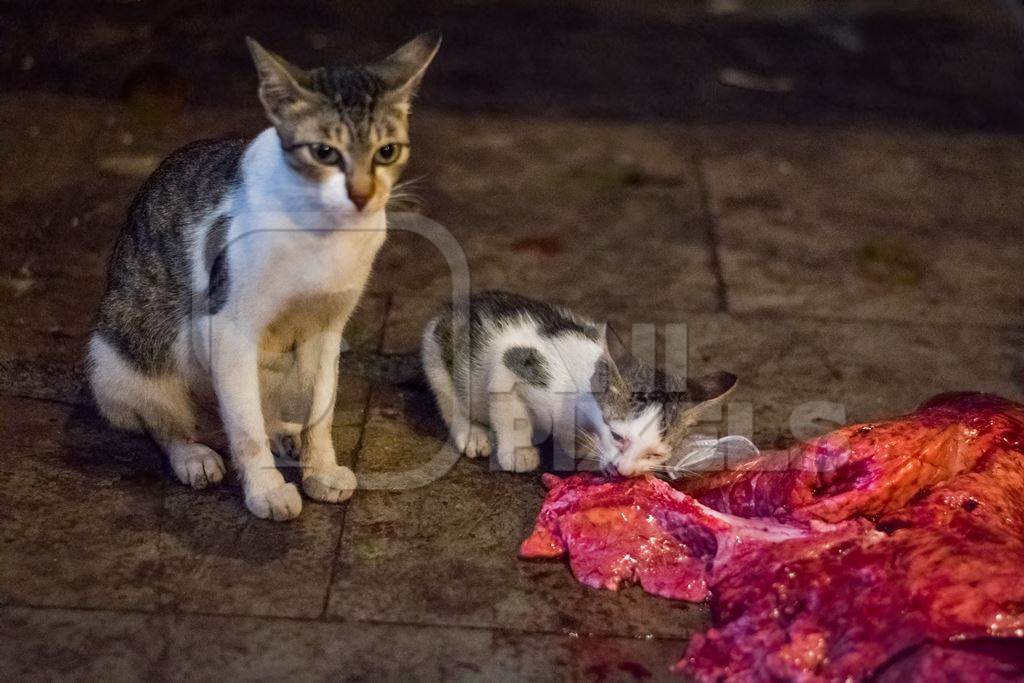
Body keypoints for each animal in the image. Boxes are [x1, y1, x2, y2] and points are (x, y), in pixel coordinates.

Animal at [86, 31, 438, 520]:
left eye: (387, 152)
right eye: (324, 152)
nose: (363, 195)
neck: (324, 236)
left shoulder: (328, 328)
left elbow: (321, 408)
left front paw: (319, 467)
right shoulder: (228, 328)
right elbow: (246, 427)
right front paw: (266, 490)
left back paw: (285, 434)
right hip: (121, 354)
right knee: (169, 420)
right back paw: (194, 455)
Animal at [421, 292, 737, 475]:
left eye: (655, 454)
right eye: (617, 436)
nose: (623, 471)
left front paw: (578, 446)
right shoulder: (511, 364)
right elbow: (511, 412)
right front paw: (518, 453)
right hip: (435, 349)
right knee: (449, 398)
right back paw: (471, 433)